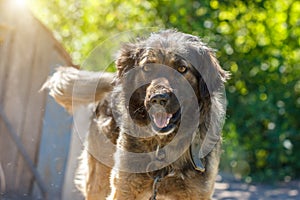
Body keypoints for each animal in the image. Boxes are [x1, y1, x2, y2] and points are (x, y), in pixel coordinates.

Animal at [43, 30, 229, 200]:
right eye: (147, 67)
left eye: (182, 68)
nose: (158, 98)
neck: (162, 145)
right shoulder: (124, 187)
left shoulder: (197, 193)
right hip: (98, 180)